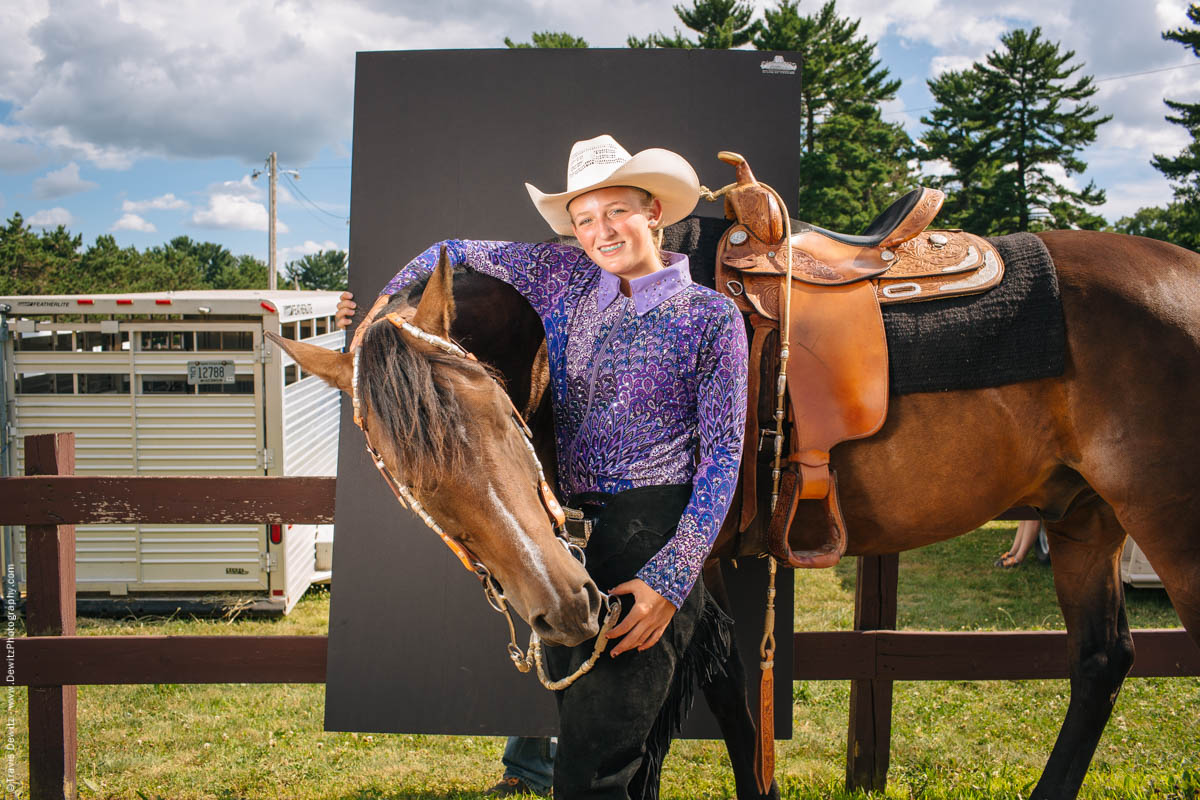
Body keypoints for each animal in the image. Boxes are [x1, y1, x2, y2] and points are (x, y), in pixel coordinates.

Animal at [276, 226, 1200, 800]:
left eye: (501, 416)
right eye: (413, 486)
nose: (565, 606)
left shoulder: (684, 568)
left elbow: (707, 711)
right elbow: (724, 698)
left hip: (1171, 529)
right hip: (1083, 520)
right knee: (1101, 663)